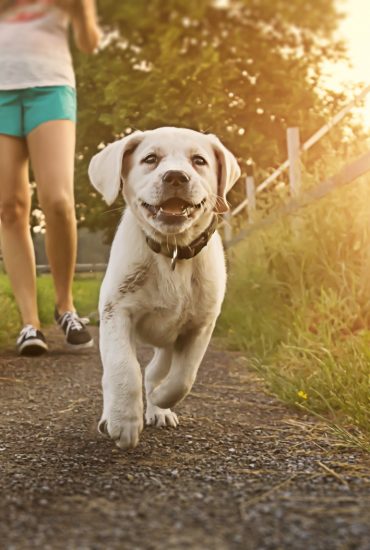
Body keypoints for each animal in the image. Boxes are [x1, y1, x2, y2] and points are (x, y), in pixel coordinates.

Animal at [89, 127, 240, 450]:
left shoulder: (200, 327)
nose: (175, 177)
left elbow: (184, 377)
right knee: (123, 372)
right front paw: (124, 421)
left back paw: (158, 408)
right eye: (150, 159)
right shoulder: (115, 312)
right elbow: (123, 367)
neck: (172, 252)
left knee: (155, 371)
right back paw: (112, 415)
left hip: (168, 344)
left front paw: (160, 399)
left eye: (199, 161)